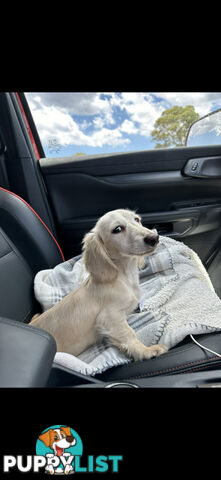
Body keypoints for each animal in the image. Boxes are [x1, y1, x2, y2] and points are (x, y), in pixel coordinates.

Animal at [31, 209, 167, 360]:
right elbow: (129, 334)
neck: (124, 278)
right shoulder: (109, 317)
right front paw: (146, 351)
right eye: (117, 229)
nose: (154, 238)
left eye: (137, 219)